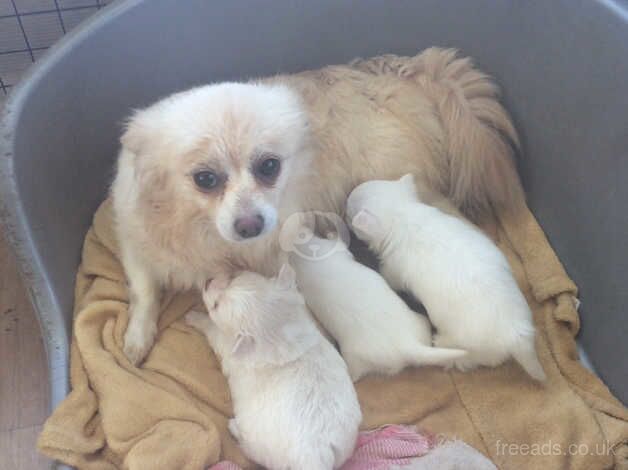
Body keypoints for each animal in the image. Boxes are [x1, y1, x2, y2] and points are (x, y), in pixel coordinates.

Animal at [110, 48, 524, 364]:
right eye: (205, 179)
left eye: (270, 166)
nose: (250, 224)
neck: (206, 235)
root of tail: (407, 71)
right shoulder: (135, 244)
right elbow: (143, 291)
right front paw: (137, 338)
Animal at [184, 266, 360, 468]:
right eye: (234, 275)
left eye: (216, 305)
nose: (207, 281)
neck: (284, 340)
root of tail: (314, 455)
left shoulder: (225, 343)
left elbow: (211, 328)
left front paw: (194, 317)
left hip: (259, 444)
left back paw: (233, 427)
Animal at [346, 174, 548, 380]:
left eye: (348, 214)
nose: (343, 214)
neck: (405, 213)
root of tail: (518, 336)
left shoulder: (394, 269)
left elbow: (390, 277)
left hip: (466, 345)